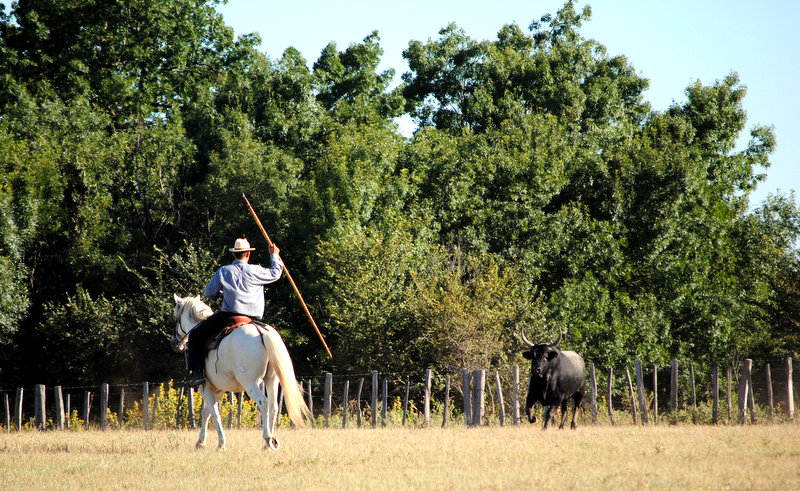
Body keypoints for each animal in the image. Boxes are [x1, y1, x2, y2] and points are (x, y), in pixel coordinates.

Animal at [169, 294, 310, 452]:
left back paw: (267, 439)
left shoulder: (205, 388)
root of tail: (261, 331)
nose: (174, 342)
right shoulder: (218, 389)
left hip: (251, 383)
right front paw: (200, 442)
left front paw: (221, 443)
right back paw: (269, 442)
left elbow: (214, 413)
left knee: (264, 403)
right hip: (272, 380)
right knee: (273, 406)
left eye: (175, 317)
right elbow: (207, 412)